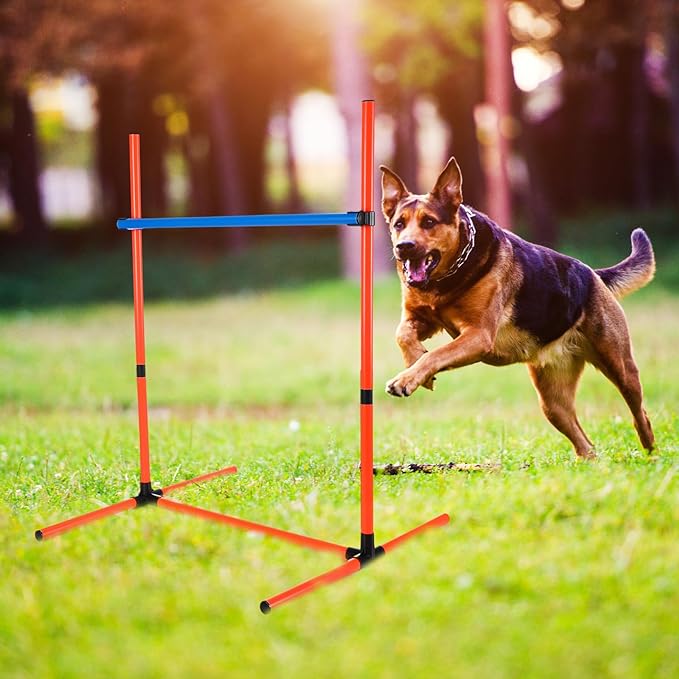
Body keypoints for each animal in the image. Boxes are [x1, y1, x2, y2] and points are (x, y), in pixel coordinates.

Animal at [380, 157, 656, 460]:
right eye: (399, 224)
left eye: (429, 222)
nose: (404, 247)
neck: (447, 279)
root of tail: (593, 274)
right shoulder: (421, 318)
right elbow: (402, 335)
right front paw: (416, 367)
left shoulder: (478, 336)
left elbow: (437, 355)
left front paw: (409, 377)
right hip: (552, 402)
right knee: (586, 444)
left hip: (620, 366)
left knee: (640, 413)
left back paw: (650, 451)